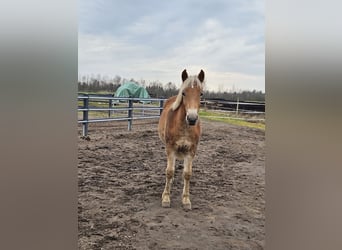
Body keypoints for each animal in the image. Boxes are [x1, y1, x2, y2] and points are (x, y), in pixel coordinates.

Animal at [159, 69, 204, 210]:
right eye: (184, 93)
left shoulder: (191, 151)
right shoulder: (170, 148)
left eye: (201, 94)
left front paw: (186, 200)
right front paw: (166, 197)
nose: (192, 118)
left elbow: (187, 174)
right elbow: (169, 172)